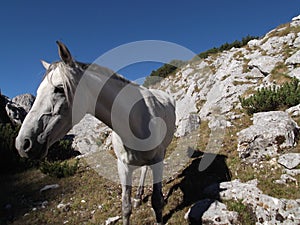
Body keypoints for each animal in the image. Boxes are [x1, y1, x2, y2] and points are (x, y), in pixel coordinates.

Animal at [15, 41, 176, 224]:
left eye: (59, 89)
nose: (23, 144)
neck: (136, 120)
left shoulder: (158, 160)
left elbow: (157, 202)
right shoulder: (123, 167)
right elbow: (125, 207)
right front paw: (132, 202)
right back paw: (138, 196)